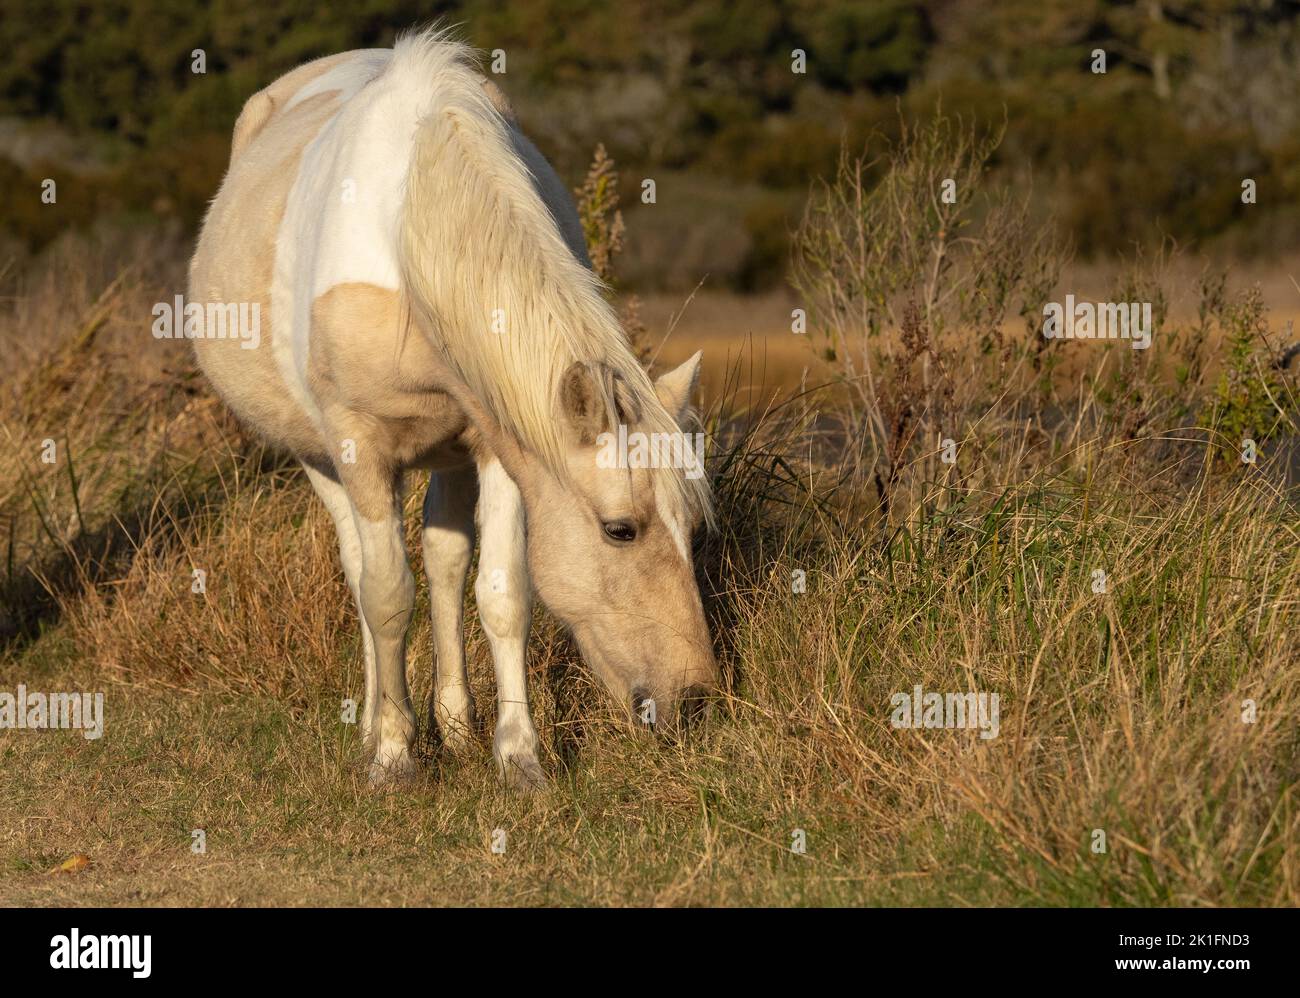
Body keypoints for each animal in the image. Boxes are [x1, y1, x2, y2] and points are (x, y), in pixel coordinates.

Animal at [189, 27, 722, 790]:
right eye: (620, 530)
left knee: (444, 563)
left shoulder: (500, 449)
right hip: (318, 457)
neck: (408, 231)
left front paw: (518, 755)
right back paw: (381, 726)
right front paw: (392, 756)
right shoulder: (359, 448)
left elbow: (502, 594)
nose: (695, 699)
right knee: (360, 568)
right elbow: (385, 593)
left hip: (447, 458)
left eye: (696, 530)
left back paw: (454, 725)